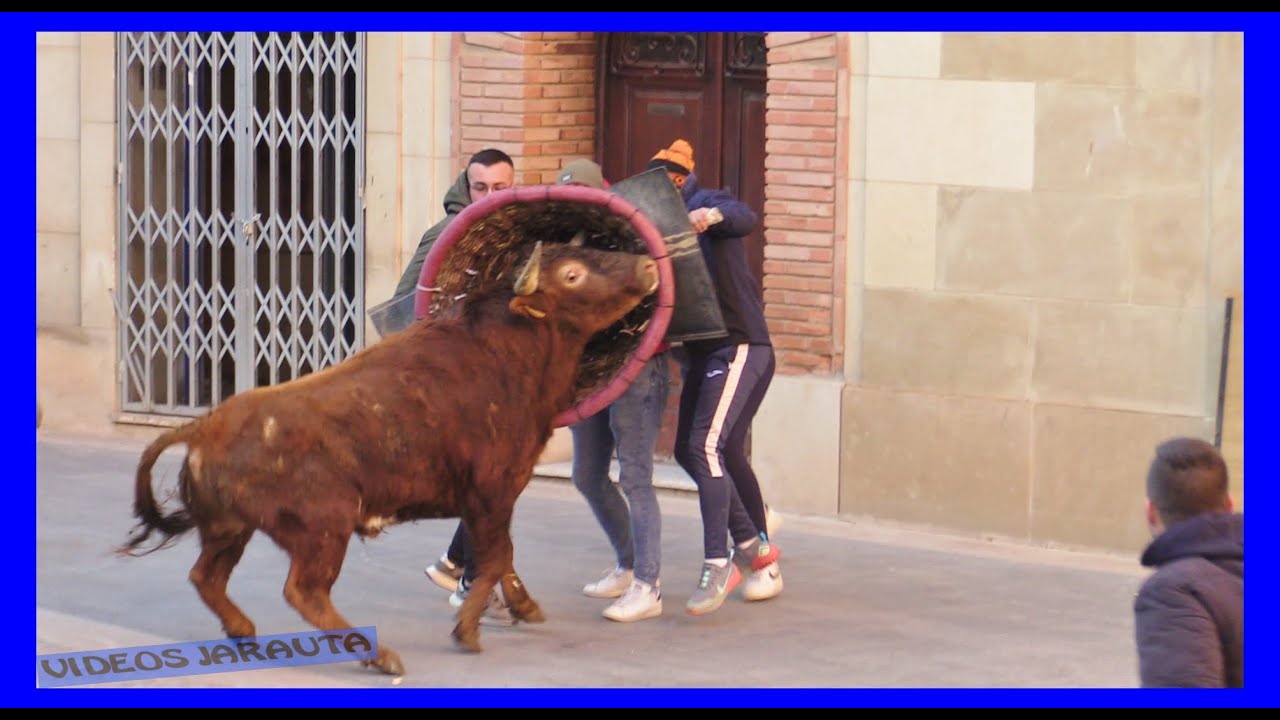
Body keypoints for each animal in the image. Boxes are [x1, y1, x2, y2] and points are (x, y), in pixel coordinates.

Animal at [117, 240, 660, 676]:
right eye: (572, 274)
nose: (648, 264)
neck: (504, 352)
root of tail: (207, 424)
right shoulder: (492, 492)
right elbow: (495, 557)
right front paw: (467, 631)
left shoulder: (487, 501)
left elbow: (501, 557)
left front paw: (523, 608)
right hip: (323, 531)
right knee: (303, 591)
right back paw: (378, 656)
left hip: (230, 530)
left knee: (206, 577)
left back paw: (244, 630)